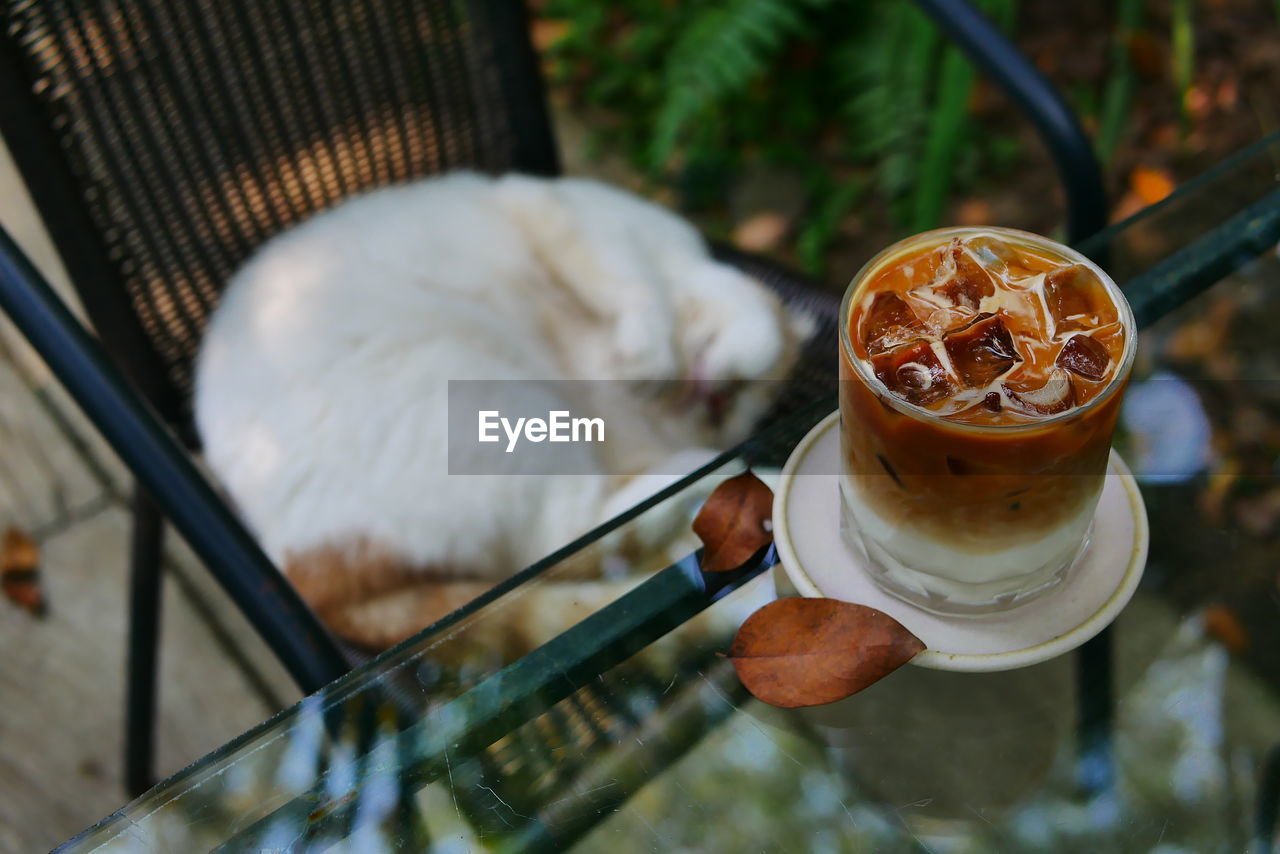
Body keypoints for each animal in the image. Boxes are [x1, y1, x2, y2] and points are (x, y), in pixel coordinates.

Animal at [193, 175, 803, 655]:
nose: (714, 401)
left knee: (583, 543)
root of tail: (302, 576)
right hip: (486, 390)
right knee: (571, 543)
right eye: (739, 389)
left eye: (731, 409)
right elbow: (637, 288)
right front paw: (652, 356)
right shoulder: (572, 216)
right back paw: (724, 470)